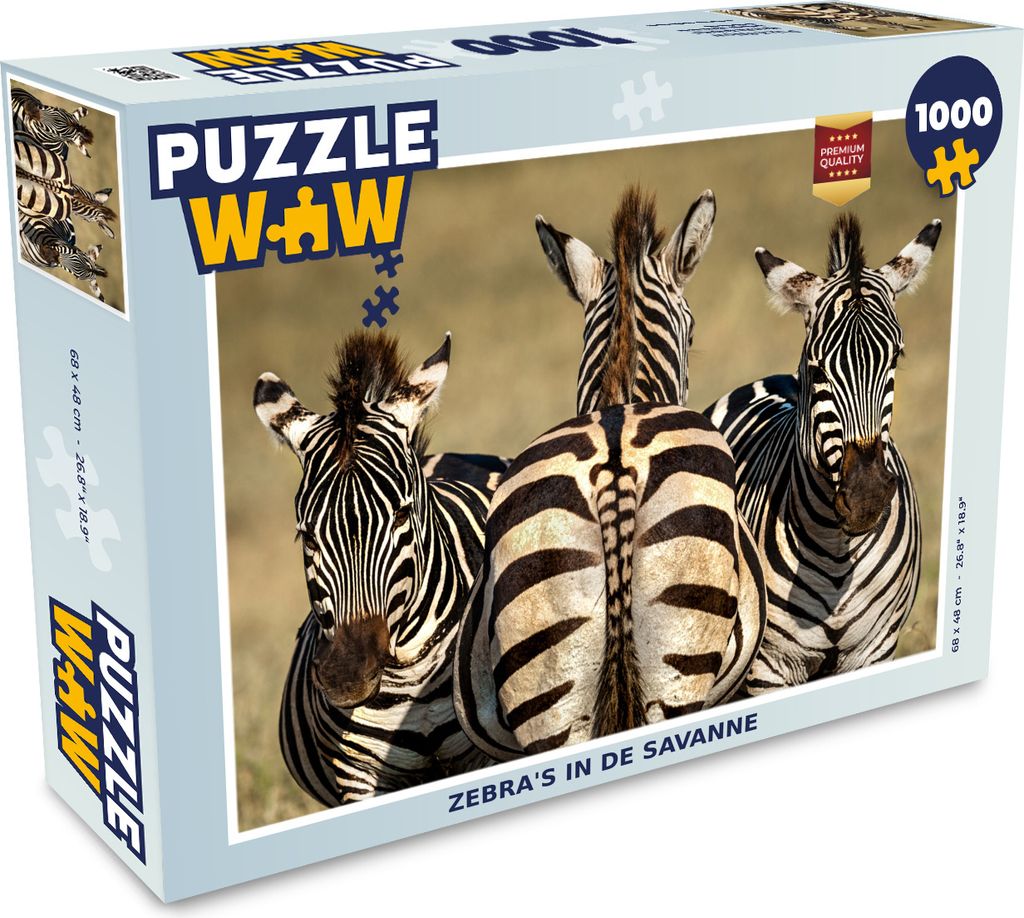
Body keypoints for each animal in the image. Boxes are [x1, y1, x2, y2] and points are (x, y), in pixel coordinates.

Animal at [705, 214, 940, 693]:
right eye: (817, 369)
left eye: (896, 359)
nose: (867, 496)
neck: (836, 548)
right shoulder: (769, 666)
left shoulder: (875, 651)